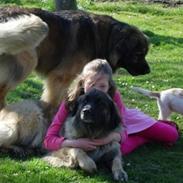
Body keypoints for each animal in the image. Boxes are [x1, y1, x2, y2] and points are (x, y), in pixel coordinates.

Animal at [0, 6, 150, 110]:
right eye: (138, 54)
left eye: (144, 53)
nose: (148, 71)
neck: (105, 38)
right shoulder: (60, 77)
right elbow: (54, 102)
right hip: (27, 61)